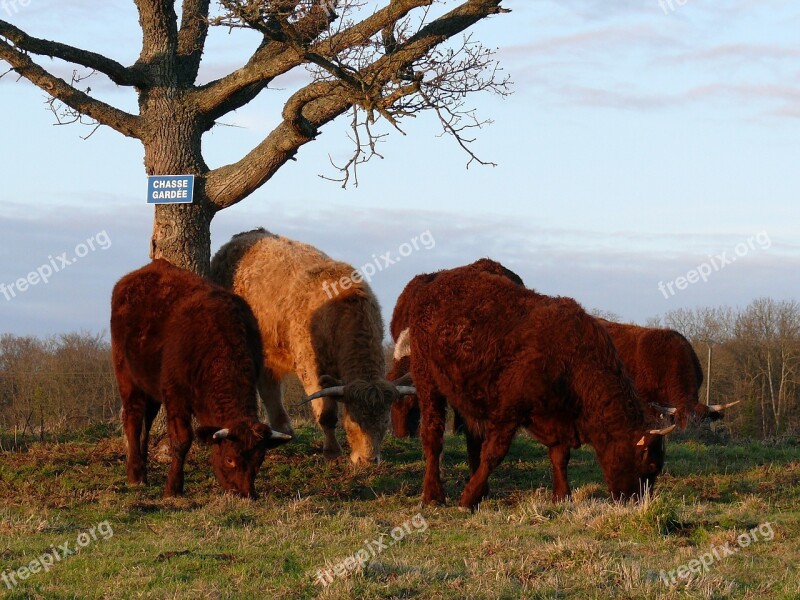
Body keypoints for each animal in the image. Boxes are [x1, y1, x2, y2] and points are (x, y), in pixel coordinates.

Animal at [109, 260, 290, 500]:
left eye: (259, 461)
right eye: (230, 459)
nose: (246, 494)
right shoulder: (175, 396)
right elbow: (181, 440)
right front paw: (173, 487)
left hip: (151, 386)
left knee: (146, 421)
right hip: (127, 377)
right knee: (133, 419)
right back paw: (135, 474)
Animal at [404, 266, 672, 506]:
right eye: (650, 465)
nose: (638, 502)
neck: (573, 359)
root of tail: (432, 282)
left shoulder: (559, 417)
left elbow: (560, 457)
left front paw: (562, 496)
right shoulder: (509, 411)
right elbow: (494, 453)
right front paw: (468, 498)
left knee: (472, 437)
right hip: (427, 381)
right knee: (433, 437)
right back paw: (433, 495)